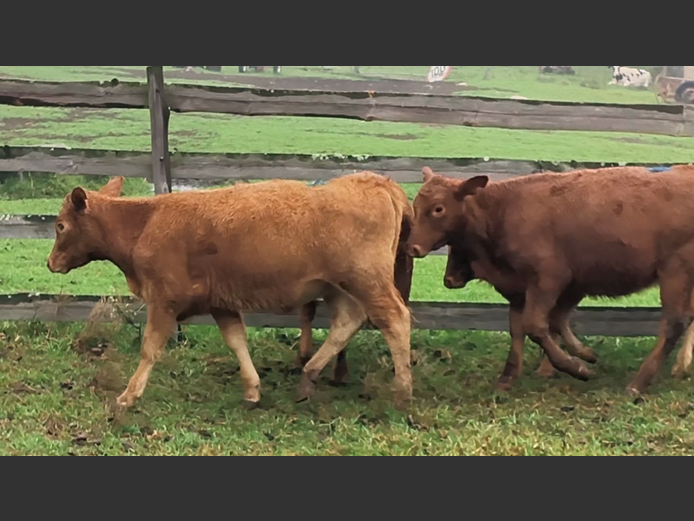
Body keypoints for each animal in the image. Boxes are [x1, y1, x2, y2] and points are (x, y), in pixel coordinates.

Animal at [50, 175, 418, 410]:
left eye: (60, 225)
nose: (51, 262)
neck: (144, 222)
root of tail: (376, 182)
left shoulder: (164, 301)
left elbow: (150, 349)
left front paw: (128, 395)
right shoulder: (221, 303)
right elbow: (236, 341)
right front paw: (252, 389)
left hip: (367, 281)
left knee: (395, 320)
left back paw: (402, 391)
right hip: (340, 286)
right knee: (347, 322)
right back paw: (308, 376)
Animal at [410, 165, 694, 396]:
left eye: (438, 209)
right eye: (415, 207)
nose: (412, 247)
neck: (502, 210)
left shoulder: (549, 279)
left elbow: (536, 325)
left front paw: (576, 367)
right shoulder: (527, 290)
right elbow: (526, 328)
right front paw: (509, 377)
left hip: (676, 271)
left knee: (673, 324)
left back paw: (638, 383)